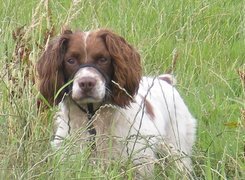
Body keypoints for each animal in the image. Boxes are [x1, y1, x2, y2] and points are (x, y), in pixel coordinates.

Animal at [36, 29, 197, 176]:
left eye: (103, 59)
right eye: (71, 60)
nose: (87, 83)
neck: (94, 119)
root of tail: (164, 80)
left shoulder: (138, 163)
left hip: (177, 149)